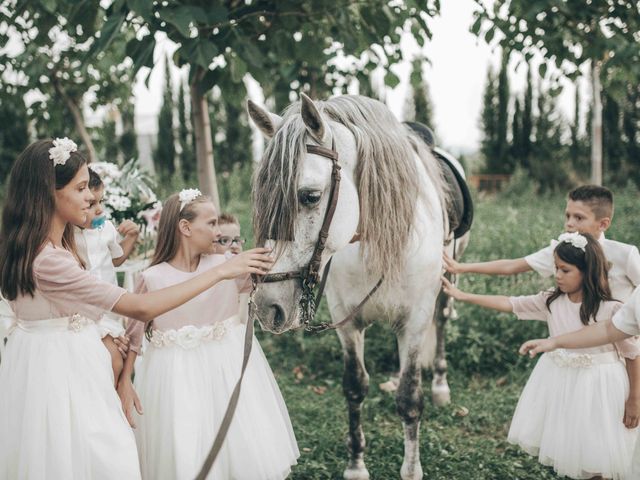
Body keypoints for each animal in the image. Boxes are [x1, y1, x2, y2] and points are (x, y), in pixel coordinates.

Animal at [248, 94, 468, 480]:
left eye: (309, 196)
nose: (266, 307)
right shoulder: (347, 322)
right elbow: (354, 387)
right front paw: (356, 465)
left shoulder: (415, 320)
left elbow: (410, 399)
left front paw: (411, 468)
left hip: (445, 286)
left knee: (442, 324)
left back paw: (441, 386)